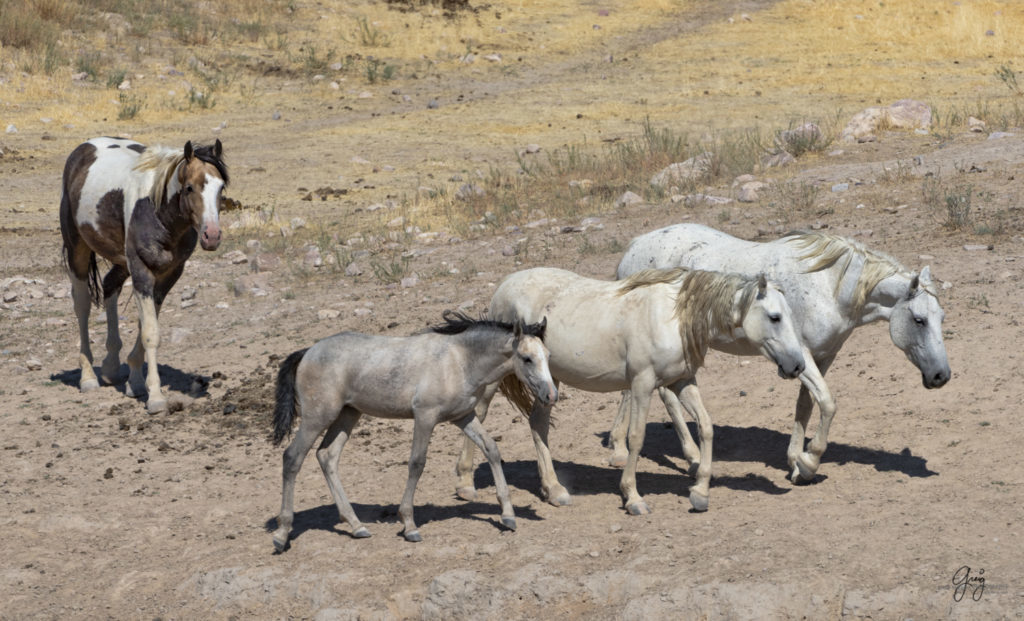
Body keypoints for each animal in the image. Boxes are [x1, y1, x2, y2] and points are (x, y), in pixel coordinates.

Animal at [60, 138, 229, 416]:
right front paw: (156, 397)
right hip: (78, 249)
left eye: (221, 187)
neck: (158, 212)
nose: (211, 236)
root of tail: (84, 147)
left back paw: (110, 368)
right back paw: (88, 377)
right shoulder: (141, 270)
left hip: (121, 261)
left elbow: (146, 327)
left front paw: (136, 382)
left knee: (109, 285)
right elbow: (150, 332)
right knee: (82, 304)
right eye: (190, 187)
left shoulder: (168, 275)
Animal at [452, 268, 802, 516]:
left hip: (549, 381)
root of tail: (503, 287)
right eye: (775, 317)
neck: (673, 319)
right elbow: (636, 437)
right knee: (478, 416)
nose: (797, 365)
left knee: (537, 423)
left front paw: (700, 492)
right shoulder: (642, 385)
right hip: (496, 380)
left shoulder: (682, 381)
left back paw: (553, 490)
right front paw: (632, 497)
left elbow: (706, 427)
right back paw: (466, 484)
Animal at [606, 226, 950, 483]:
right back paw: (680, 457)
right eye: (919, 320)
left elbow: (806, 406)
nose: (941, 376)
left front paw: (795, 460)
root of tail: (633, 249)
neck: (828, 285)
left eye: (941, 317)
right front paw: (810, 462)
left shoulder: (821, 357)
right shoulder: (803, 356)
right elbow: (828, 403)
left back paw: (627, 448)